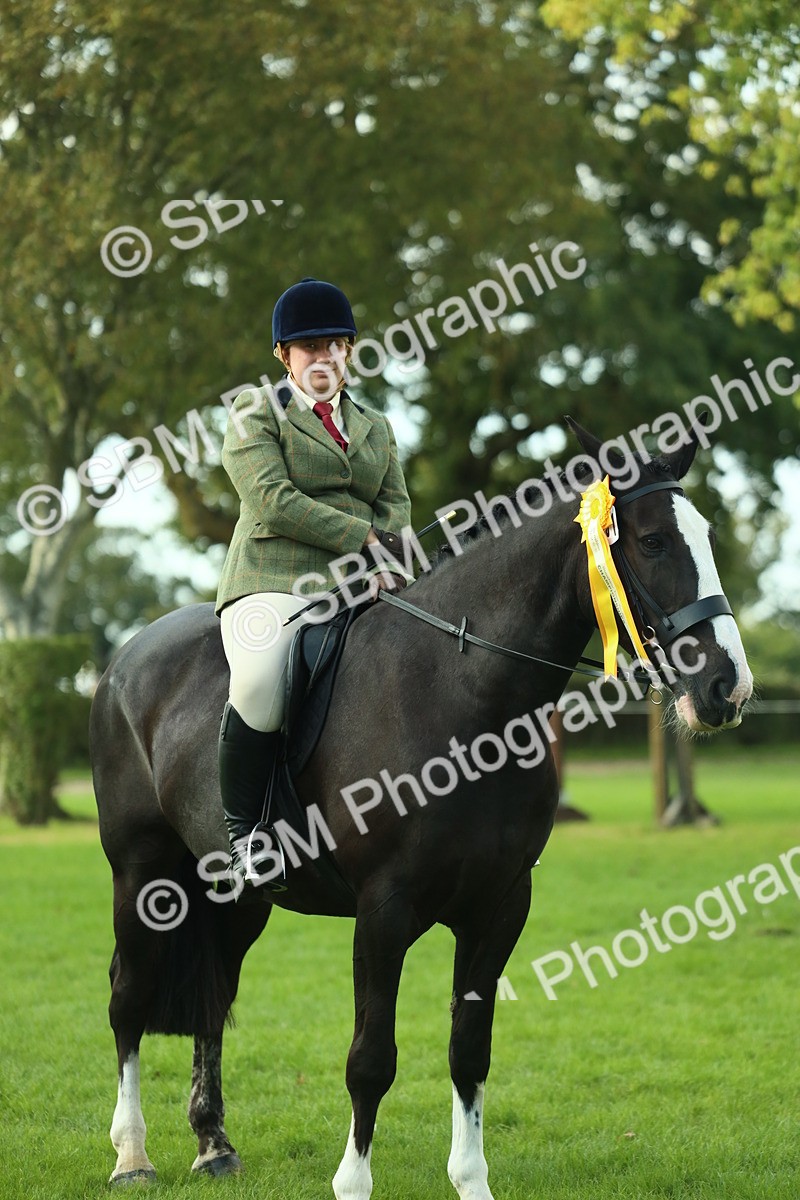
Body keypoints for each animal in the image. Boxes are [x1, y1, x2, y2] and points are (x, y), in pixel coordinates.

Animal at [90, 420, 752, 1199]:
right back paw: (132, 1157)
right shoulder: (384, 909)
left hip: (234, 894)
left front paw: (472, 1181)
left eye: (707, 534)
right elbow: (371, 1059)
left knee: (213, 997)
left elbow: (470, 1051)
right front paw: (353, 1183)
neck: (465, 694)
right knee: (129, 997)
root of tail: (126, 655)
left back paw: (213, 1145)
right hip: (143, 877)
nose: (727, 688)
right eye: (650, 541)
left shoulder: (500, 905)